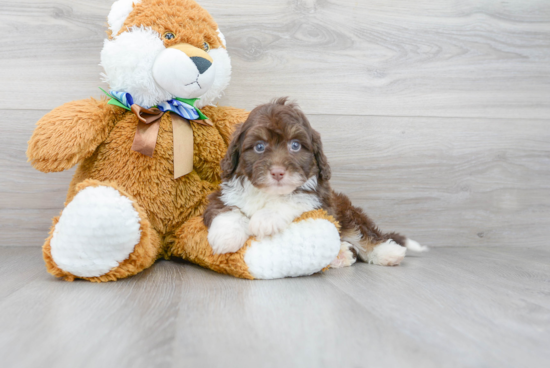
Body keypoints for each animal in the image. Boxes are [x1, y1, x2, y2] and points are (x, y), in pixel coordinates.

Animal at [205, 98, 430, 268]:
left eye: (295, 145)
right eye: (259, 147)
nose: (277, 172)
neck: (269, 193)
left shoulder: (319, 199)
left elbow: (293, 198)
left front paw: (265, 219)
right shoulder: (223, 193)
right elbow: (227, 209)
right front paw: (225, 237)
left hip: (347, 212)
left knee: (363, 235)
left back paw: (387, 252)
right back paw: (342, 254)